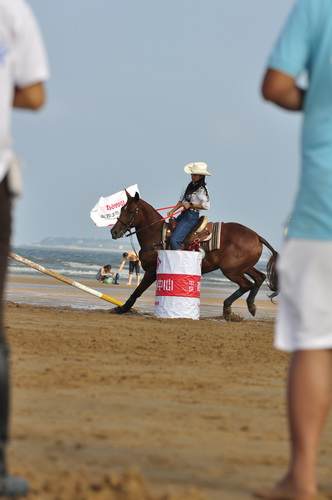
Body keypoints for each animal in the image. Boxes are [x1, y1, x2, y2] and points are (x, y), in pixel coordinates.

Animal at [110, 191, 278, 320]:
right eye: (121, 208)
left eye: (130, 211)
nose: (114, 231)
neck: (156, 234)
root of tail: (257, 236)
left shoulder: (151, 271)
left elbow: (138, 291)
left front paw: (122, 308)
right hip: (243, 267)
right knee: (259, 278)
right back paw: (251, 306)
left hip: (231, 270)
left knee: (247, 284)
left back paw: (228, 309)